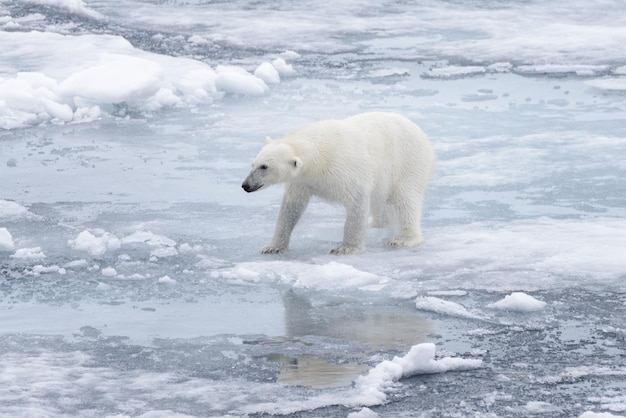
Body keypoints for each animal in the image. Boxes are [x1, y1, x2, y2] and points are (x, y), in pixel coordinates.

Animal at [240, 111, 434, 255]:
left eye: (265, 167)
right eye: (253, 164)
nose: (246, 185)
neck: (321, 155)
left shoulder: (346, 170)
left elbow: (357, 203)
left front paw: (346, 248)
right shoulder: (302, 181)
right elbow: (291, 208)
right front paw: (273, 247)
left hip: (407, 163)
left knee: (406, 200)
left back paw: (402, 239)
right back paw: (377, 224)